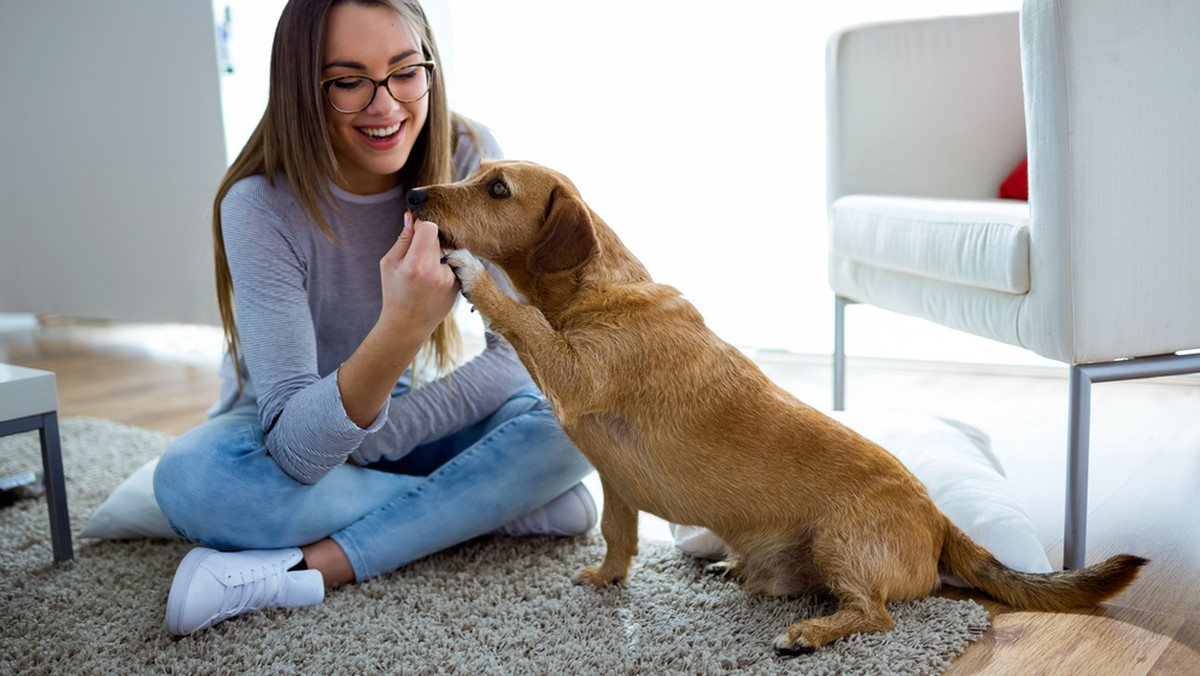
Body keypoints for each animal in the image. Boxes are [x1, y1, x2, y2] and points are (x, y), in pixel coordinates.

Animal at [408, 159, 1147, 657]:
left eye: (498, 189)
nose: (413, 195)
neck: (594, 291)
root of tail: (939, 520)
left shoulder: (569, 369)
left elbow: (519, 317)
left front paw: (469, 269)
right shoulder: (614, 482)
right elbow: (619, 540)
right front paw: (606, 579)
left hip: (840, 541)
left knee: (876, 616)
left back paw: (811, 634)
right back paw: (737, 568)